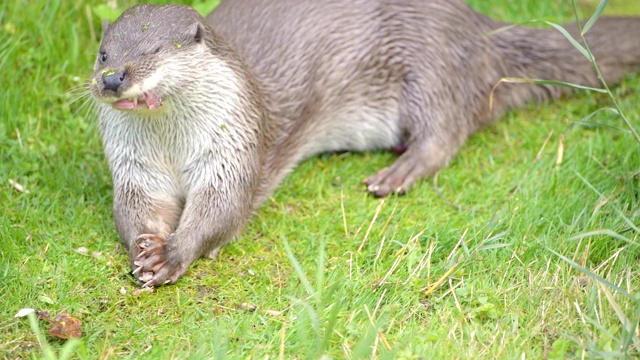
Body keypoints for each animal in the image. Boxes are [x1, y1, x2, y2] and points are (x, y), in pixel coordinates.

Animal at [89, 0, 640, 286]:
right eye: (104, 53)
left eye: (151, 49)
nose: (113, 79)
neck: (174, 145)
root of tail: (479, 27)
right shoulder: (135, 168)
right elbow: (134, 209)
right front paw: (144, 247)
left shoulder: (231, 148)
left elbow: (220, 210)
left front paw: (172, 253)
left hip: (431, 65)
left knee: (444, 134)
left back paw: (396, 174)